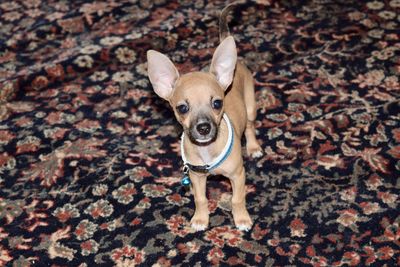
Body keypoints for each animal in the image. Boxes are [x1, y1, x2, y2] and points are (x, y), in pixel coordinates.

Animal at [147, 3, 262, 231]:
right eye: (182, 108)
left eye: (217, 103)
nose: (203, 128)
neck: (207, 150)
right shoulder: (197, 177)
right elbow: (200, 199)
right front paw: (201, 218)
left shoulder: (238, 175)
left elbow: (237, 199)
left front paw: (242, 219)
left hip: (251, 107)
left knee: (250, 126)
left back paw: (254, 147)